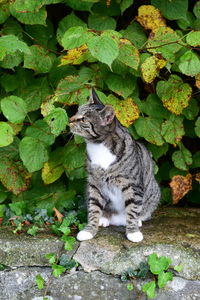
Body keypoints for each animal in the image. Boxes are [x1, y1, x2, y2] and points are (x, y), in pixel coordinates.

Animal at [69, 88, 160, 243]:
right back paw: (104, 218)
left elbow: (132, 209)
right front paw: (89, 230)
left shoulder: (132, 185)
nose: (70, 119)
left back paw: (137, 221)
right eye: (76, 112)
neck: (98, 146)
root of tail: (118, 220)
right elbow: (93, 208)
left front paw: (133, 232)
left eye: (84, 119)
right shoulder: (94, 184)